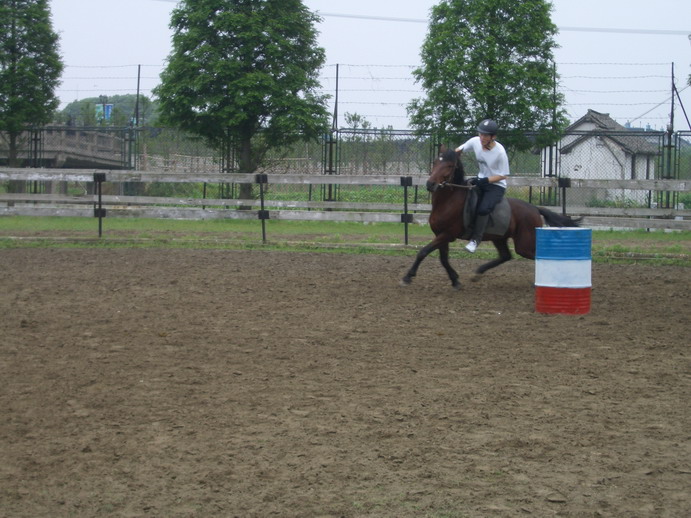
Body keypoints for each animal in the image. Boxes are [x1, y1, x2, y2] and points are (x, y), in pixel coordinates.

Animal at [402, 148, 580, 290]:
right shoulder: (440, 235)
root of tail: (535, 209)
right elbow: (443, 259)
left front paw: (408, 276)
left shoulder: (447, 234)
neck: (449, 201)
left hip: (524, 244)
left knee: (537, 256)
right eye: (435, 162)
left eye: (450, 166)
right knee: (506, 256)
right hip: (500, 238)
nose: (430, 184)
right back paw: (478, 273)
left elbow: (423, 252)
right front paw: (455, 280)